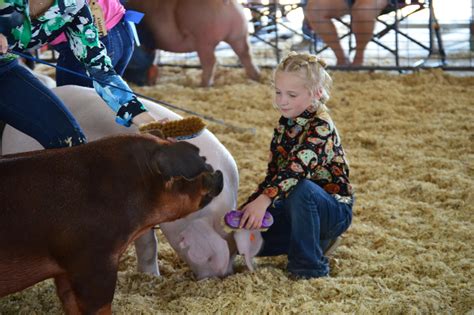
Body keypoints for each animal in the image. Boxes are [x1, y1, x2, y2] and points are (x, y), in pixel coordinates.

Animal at [0, 135, 224, 314]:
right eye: (199, 169)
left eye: (203, 158)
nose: (218, 172)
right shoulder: (93, 260)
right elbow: (100, 305)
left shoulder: (65, 270)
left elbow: (69, 302)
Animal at [124, 0, 262, 86]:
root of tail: (226, 2)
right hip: (239, 34)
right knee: (246, 53)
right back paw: (256, 77)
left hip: (204, 39)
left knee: (211, 61)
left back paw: (203, 85)